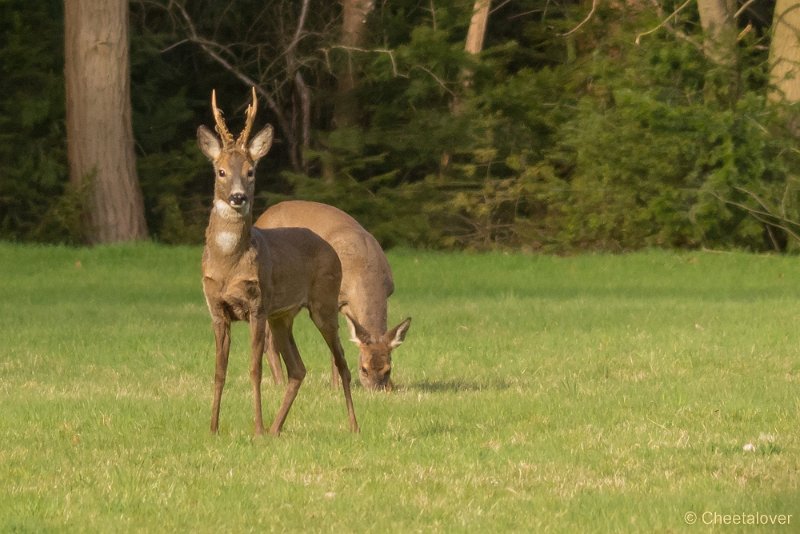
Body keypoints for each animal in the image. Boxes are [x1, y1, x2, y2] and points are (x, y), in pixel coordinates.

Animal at [198, 88, 358, 438]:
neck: (228, 265)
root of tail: (329, 247)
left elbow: (254, 369)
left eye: (251, 171)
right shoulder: (217, 309)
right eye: (221, 171)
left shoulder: (257, 306)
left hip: (323, 303)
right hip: (283, 316)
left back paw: (353, 426)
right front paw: (213, 428)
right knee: (298, 369)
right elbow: (219, 371)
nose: (238, 197)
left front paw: (255, 428)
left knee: (342, 362)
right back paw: (276, 429)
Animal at [256, 201, 412, 394]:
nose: (375, 390)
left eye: (388, 369)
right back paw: (280, 383)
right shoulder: (332, 299)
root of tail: (261, 218)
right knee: (268, 338)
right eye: (364, 369)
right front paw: (337, 387)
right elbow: (336, 348)